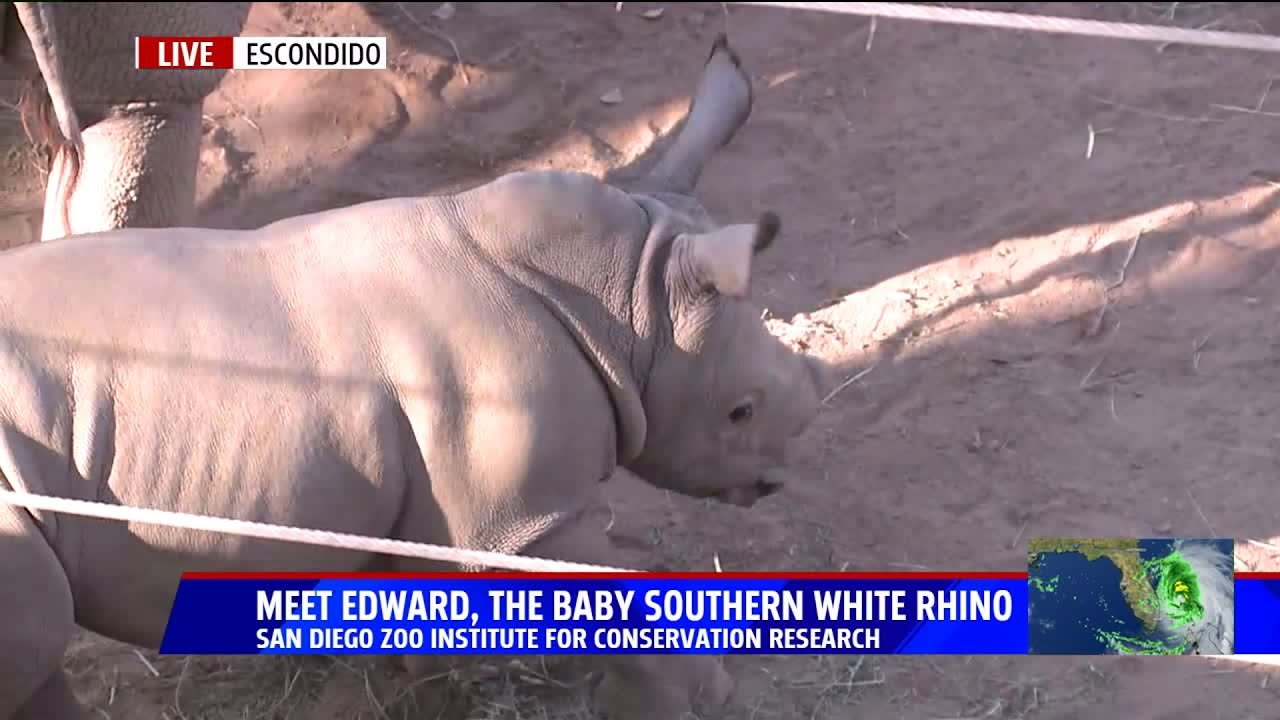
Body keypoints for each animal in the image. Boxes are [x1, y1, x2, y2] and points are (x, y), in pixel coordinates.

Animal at [0, 34, 829, 720]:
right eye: (740, 412)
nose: (775, 483)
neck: (633, 297)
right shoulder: (520, 523)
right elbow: (617, 602)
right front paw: (703, 698)